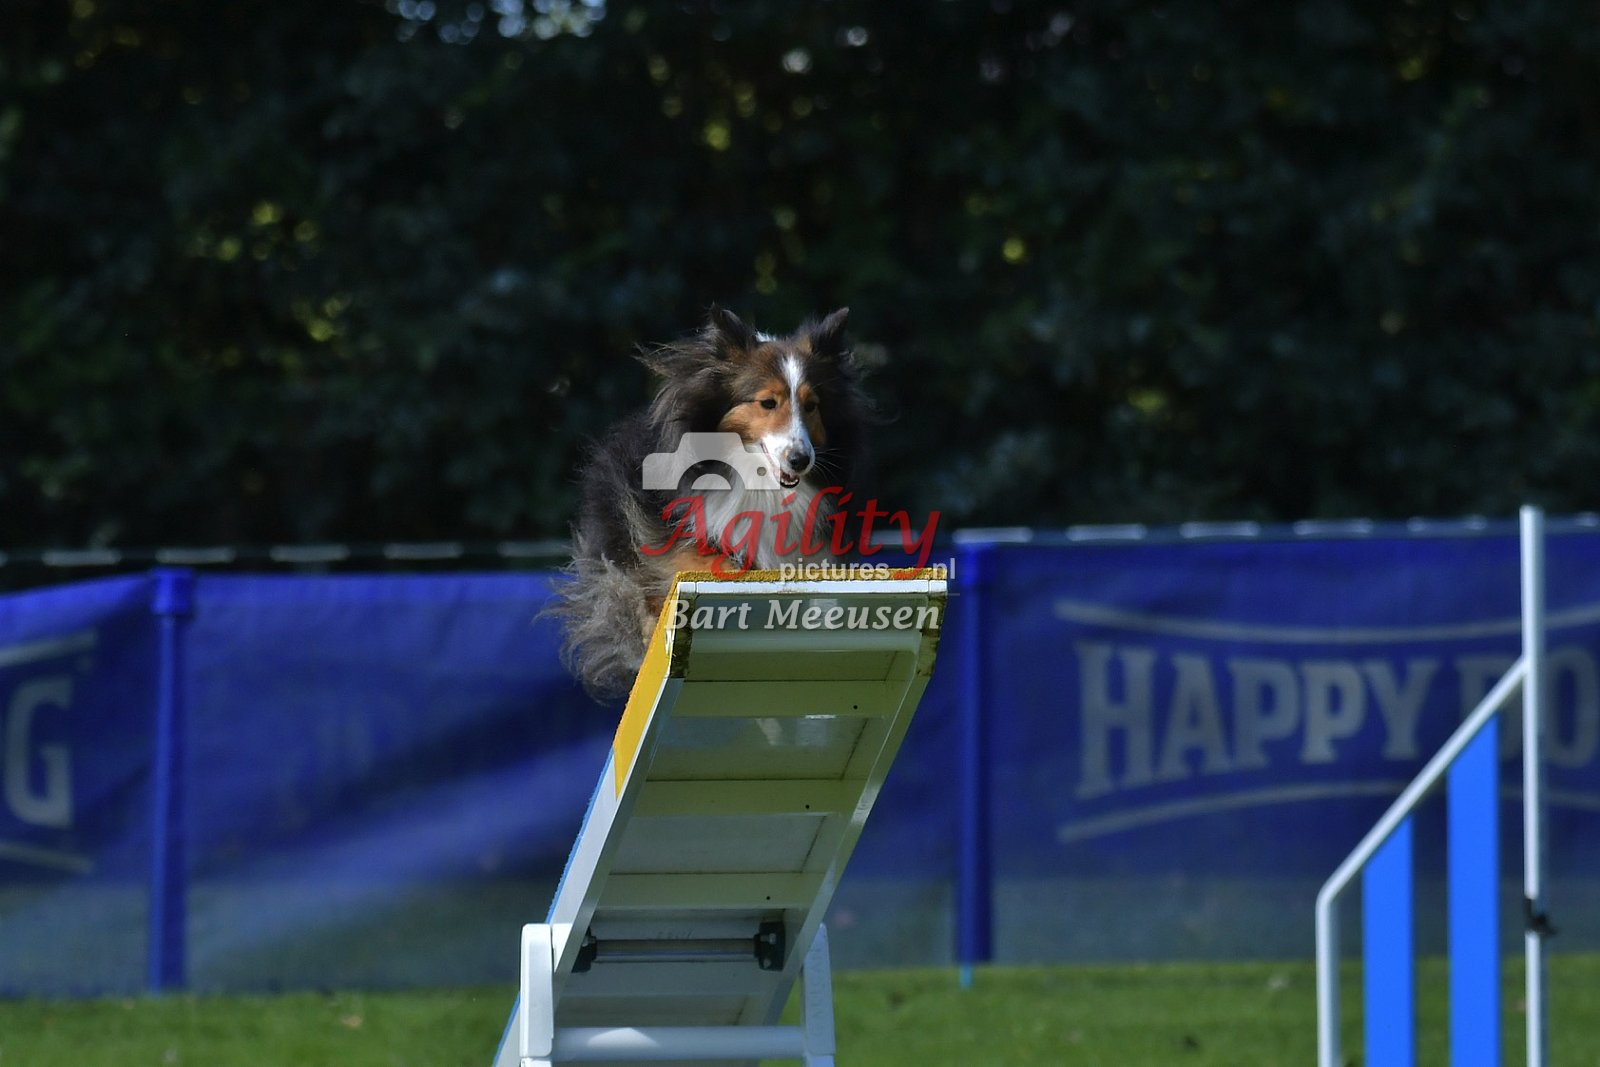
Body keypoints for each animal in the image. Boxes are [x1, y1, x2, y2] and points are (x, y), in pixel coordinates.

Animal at [551, 306, 870, 700]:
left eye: (812, 406)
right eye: (768, 402)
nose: (800, 460)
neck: (759, 479)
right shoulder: (667, 535)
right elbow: (700, 560)